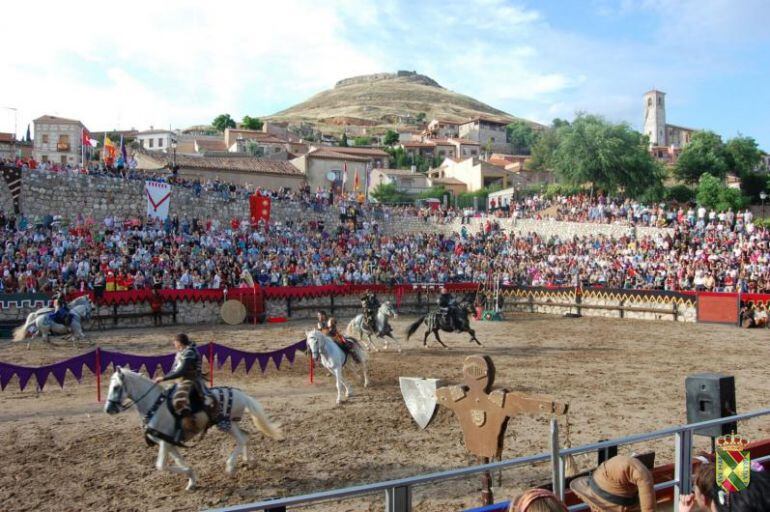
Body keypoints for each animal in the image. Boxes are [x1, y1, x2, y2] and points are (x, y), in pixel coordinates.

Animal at [103, 366, 282, 490]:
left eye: (116, 387)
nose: (108, 409)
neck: (155, 406)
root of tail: (241, 394)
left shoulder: (164, 443)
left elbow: (161, 466)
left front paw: (191, 476)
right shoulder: (169, 443)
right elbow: (178, 461)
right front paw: (191, 480)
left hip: (227, 424)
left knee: (242, 439)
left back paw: (230, 467)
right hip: (233, 424)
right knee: (246, 436)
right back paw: (249, 461)